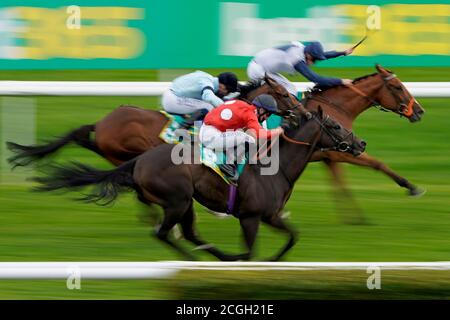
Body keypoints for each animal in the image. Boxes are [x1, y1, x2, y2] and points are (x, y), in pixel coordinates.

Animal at [34, 107, 366, 260]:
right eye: (335, 125)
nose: (361, 143)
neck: (276, 168)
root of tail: (139, 161)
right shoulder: (251, 217)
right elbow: (252, 250)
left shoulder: (269, 216)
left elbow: (293, 236)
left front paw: (272, 259)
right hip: (177, 199)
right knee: (164, 233)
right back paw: (195, 257)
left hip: (186, 203)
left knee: (190, 233)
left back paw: (215, 255)